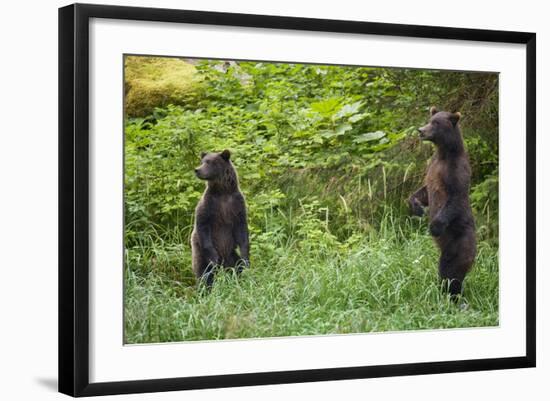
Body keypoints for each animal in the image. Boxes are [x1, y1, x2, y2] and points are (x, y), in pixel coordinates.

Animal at [191, 148, 249, 286]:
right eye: (202, 161)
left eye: (209, 162)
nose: (197, 169)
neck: (222, 191)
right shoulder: (209, 204)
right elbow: (202, 223)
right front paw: (214, 258)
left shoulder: (237, 204)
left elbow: (242, 230)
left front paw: (246, 258)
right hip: (199, 251)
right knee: (204, 273)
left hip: (231, 253)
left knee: (237, 266)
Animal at [410, 106, 478, 296]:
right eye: (430, 120)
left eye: (436, 123)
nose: (421, 130)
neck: (444, 152)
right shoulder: (433, 166)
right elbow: (424, 190)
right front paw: (416, 207)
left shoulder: (456, 170)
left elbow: (456, 197)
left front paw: (434, 227)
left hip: (460, 243)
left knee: (452, 272)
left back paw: (453, 295)